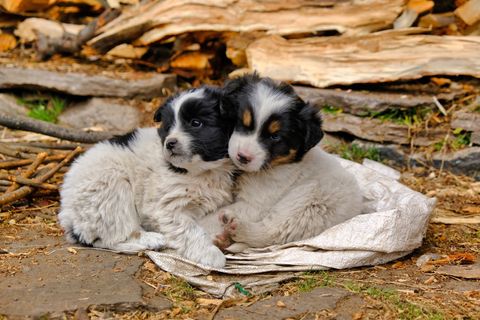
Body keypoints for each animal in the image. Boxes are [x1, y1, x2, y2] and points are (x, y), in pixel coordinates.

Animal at [59, 85, 236, 268]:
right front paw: (210, 254)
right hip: (110, 189)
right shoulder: (167, 208)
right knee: (112, 237)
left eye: (196, 123)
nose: (170, 143)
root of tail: (68, 215)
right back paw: (151, 240)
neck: (201, 170)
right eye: (168, 127)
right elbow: (189, 229)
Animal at [216, 75, 362, 252]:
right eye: (241, 122)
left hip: (308, 201)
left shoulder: (256, 204)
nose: (243, 157)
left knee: (273, 231)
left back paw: (236, 227)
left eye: (275, 137)